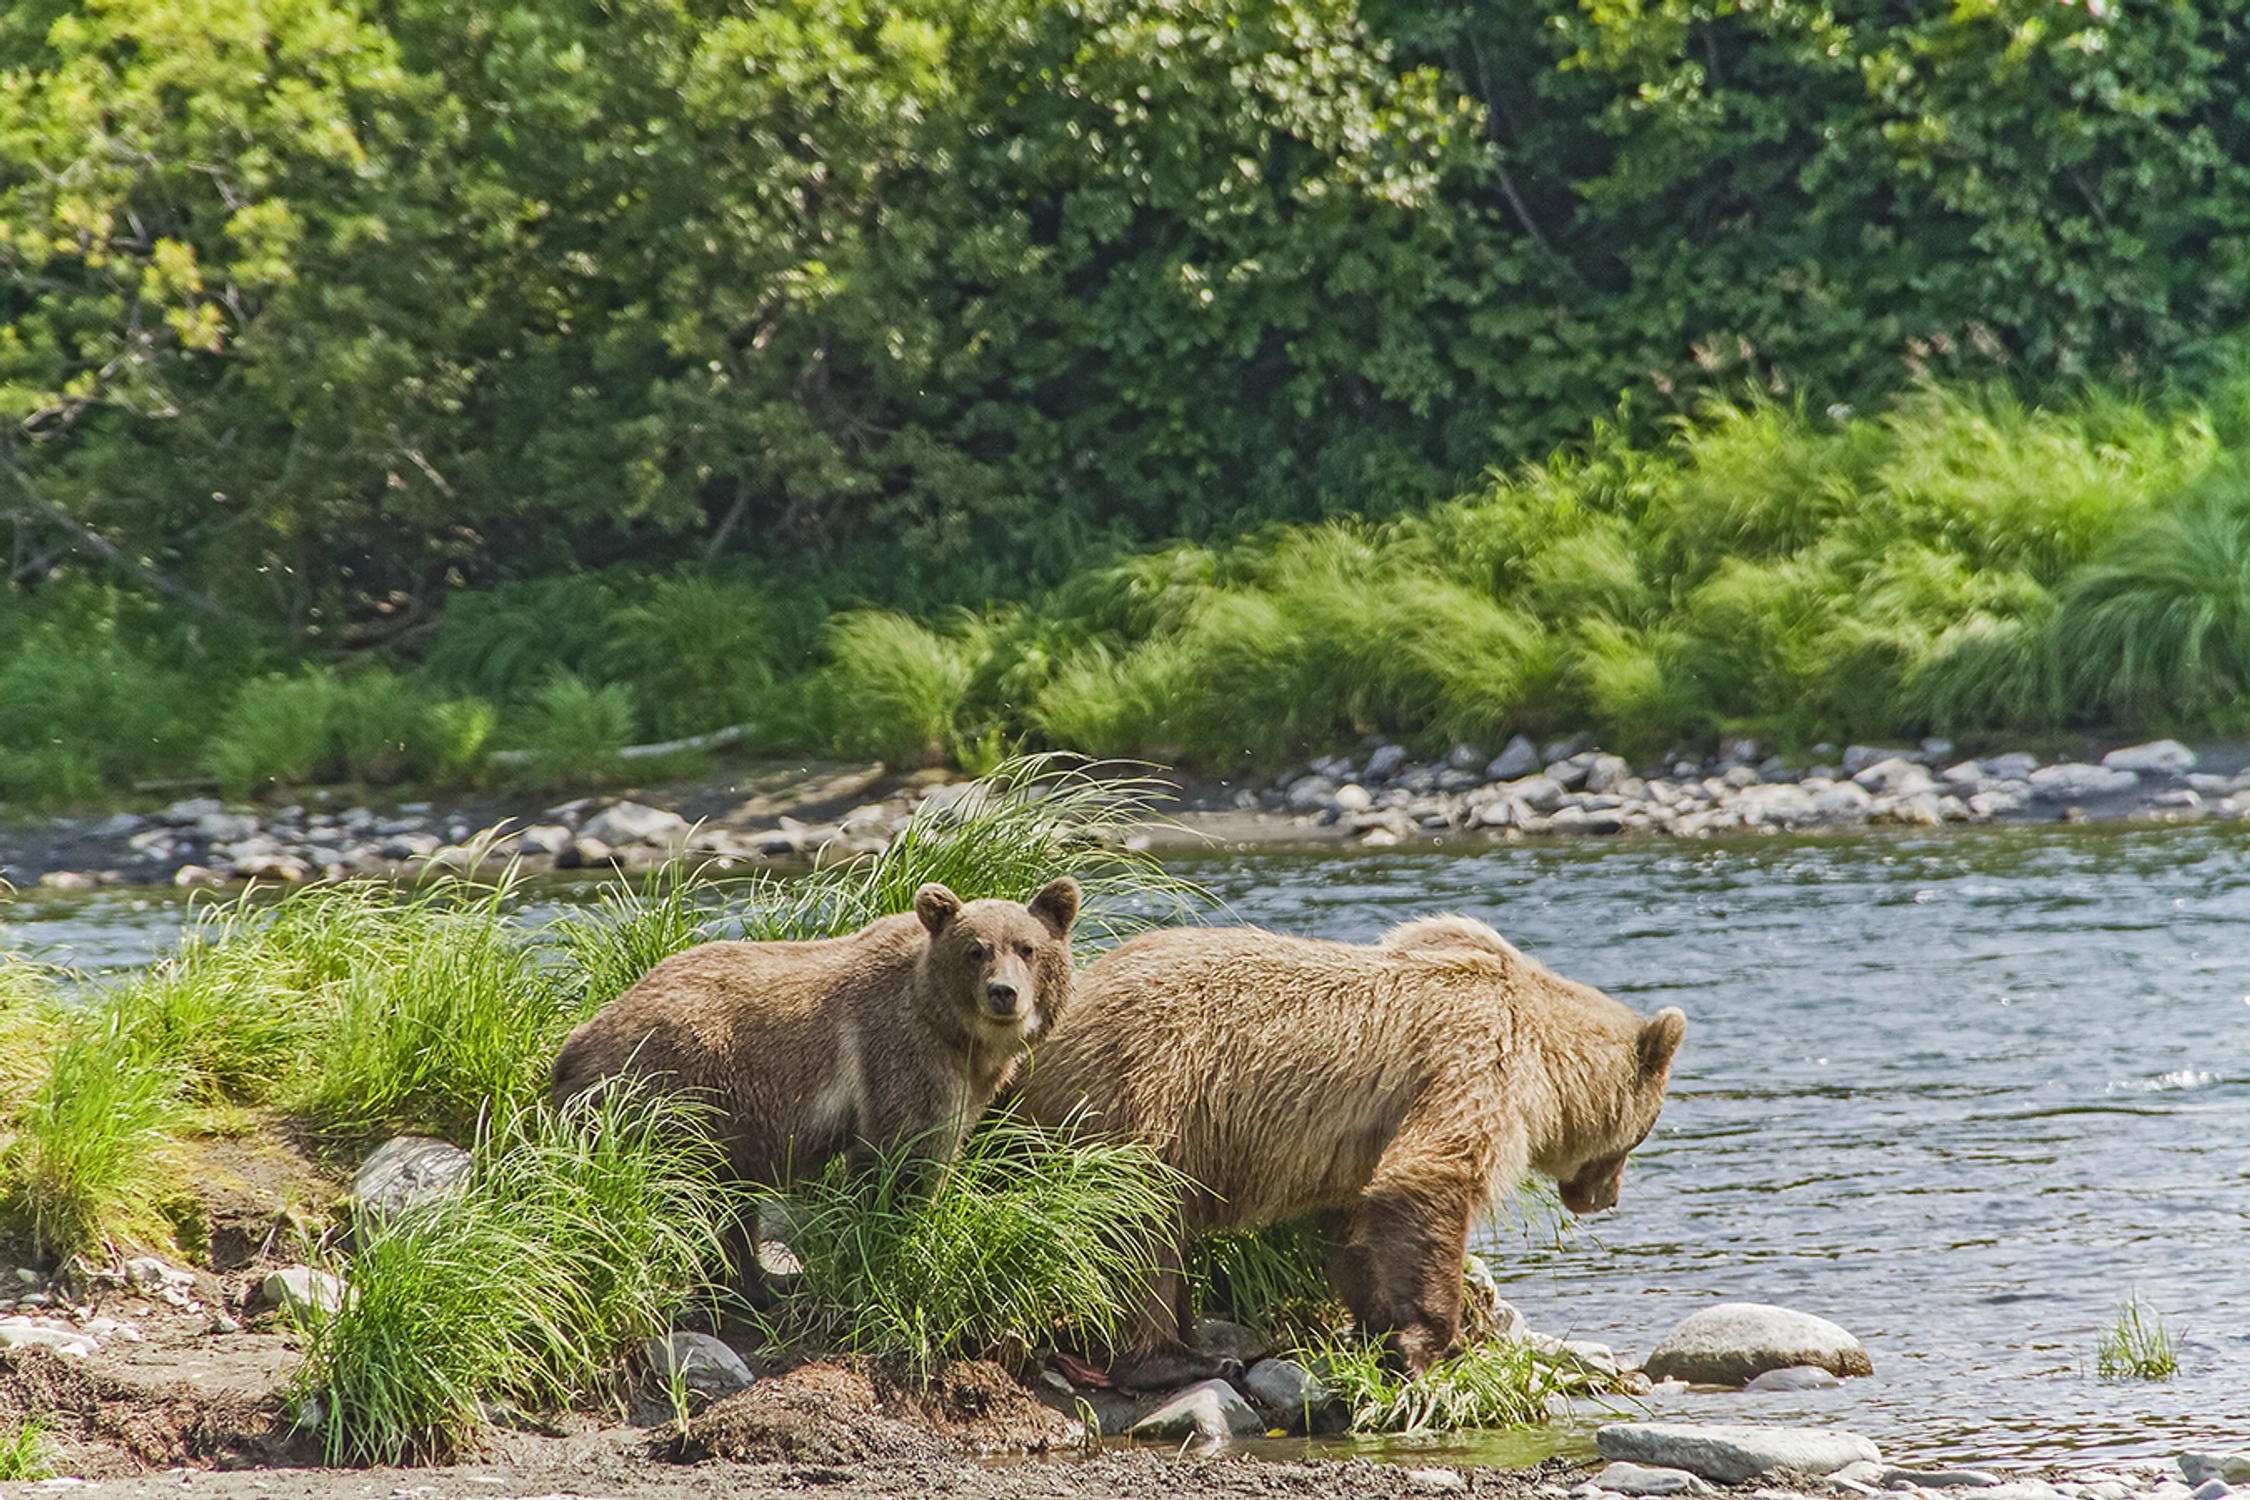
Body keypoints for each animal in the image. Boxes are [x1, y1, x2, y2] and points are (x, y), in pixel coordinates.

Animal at [542, 881, 1071, 1187]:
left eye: (1027, 948)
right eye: (975, 950)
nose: (1003, 993)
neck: (955, 1031)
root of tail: (573, 1046)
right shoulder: (900, 1050)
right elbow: (907, 1147)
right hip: (669, 1091)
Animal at [1021, 904, 1692, 1385]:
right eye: (1640, 1134)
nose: (1605, 1198)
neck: (1547, 1057)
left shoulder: (1358, 1143)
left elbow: (1356, 1227)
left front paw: (1376, 1326)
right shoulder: (1475, 1059)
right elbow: (1432, 1176)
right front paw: (1429, 1343)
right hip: (1140, 1098)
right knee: (1135, 1230)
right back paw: (1178, 1358)